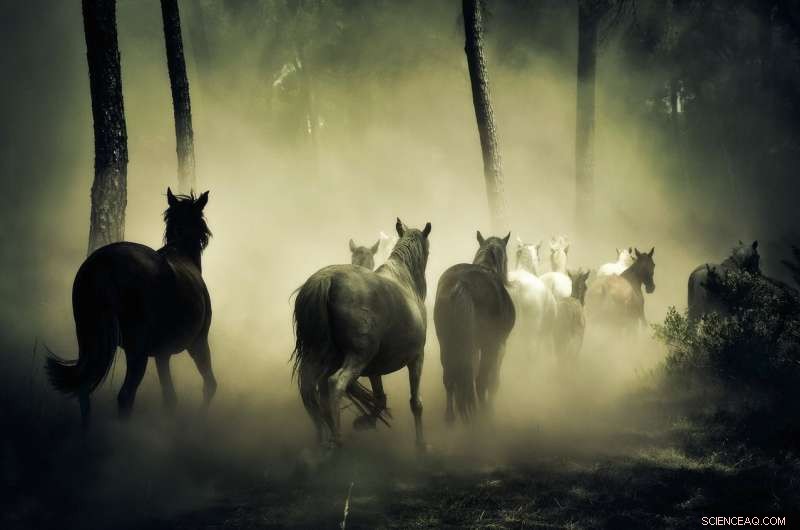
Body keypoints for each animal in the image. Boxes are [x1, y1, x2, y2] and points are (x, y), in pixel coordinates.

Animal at [46, 189, 217, 426]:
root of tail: (104, 263)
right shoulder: (198, 343)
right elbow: (209, 385)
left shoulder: (163, 355)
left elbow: (170, 398)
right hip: (138, 351)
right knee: (125, 396)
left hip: (89, 341)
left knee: (84, 391)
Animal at [292, 218, 431, 450]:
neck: (404, 281)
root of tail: (326, 280)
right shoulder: (416, 357)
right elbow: (416, 403)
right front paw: (421, 445)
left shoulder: (375, 367)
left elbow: (379, 397)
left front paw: (365, 421)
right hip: (357, 357)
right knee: (335, 384)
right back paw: (336, 440)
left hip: (321, 357)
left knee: (310, 391)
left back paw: (322, 440)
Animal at [434, 231, 515, 423]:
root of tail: (461, 284)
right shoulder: (499, 345)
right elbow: (493, 381)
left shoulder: (472, 348)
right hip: (488, 346)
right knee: (480, 381)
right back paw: (484, 415)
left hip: (447, 344)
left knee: (450, 379)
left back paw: (450, 418)